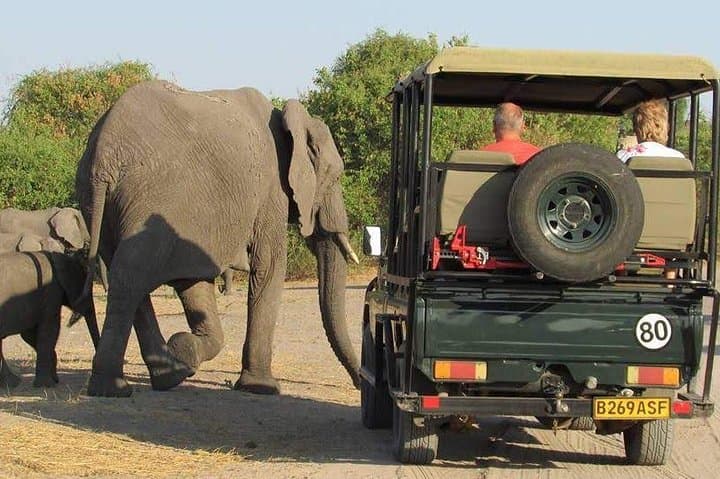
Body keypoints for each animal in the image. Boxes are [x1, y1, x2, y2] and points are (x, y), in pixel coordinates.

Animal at [0, 251, 100, 389]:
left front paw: (53, 379)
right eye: (84, 289)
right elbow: (50, 329)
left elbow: (29, 334)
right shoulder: (51, 292)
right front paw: (46, 384)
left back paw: (11, 384)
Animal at [75, 80, 360, 397]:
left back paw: (166, 376)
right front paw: (260, 388)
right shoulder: (270, 191)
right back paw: (113, 388)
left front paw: (184, 350)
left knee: (125, 272)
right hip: (152, 197)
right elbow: (269, 267)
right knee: (131, 275)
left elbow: (194, 281)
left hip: (100, 205)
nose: (359, 383)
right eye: (336, 177)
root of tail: (103, 158)